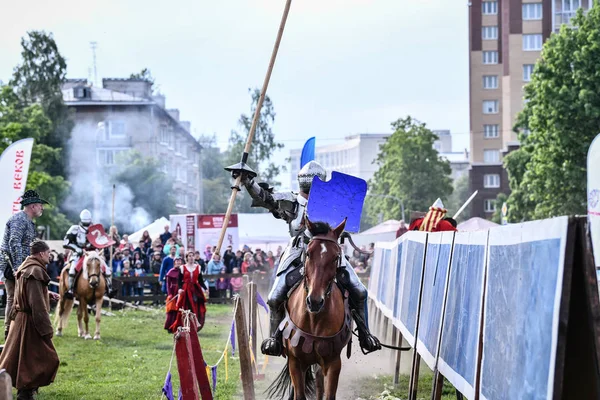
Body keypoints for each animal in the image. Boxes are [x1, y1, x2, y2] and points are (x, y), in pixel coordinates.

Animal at [266, 219, 352, 400]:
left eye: (335, 257)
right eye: (309, 254)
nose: (315, 301)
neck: (314, 319)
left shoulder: (333, 363)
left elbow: (328, 394)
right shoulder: (295, 362)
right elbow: (299, 394)